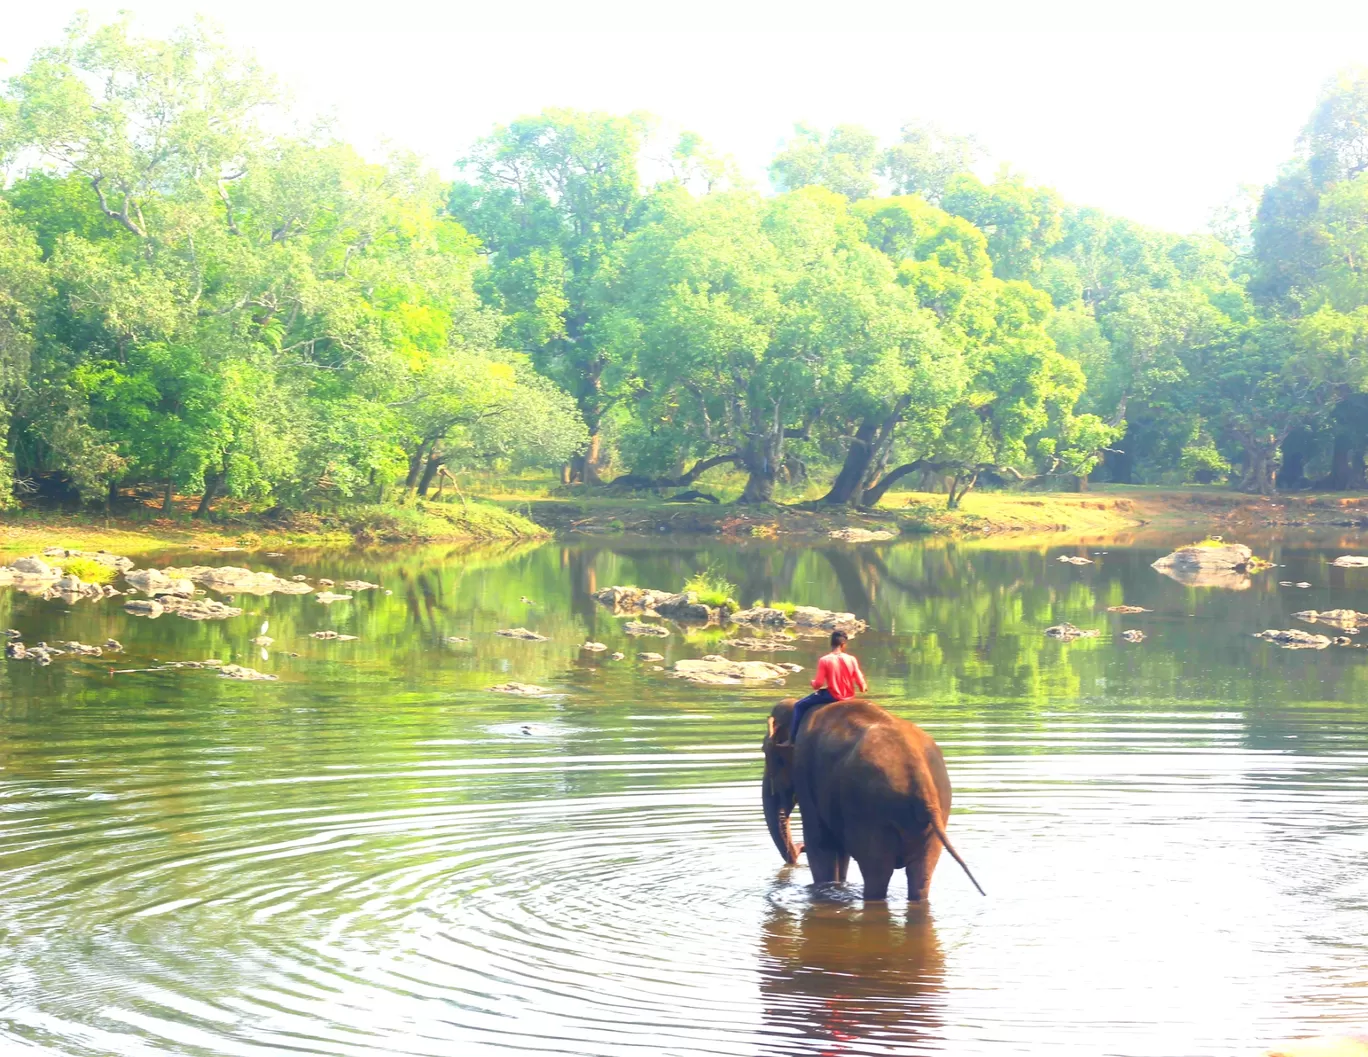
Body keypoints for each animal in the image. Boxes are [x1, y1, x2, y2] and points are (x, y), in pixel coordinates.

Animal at [760, 691, 984, 897]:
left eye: (765, 752)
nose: (799, 847)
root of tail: (921, 780)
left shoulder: (805, 771)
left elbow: (820, 843)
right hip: (935, 813)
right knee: (921, 875)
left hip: (871, 814)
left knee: (876, 874)